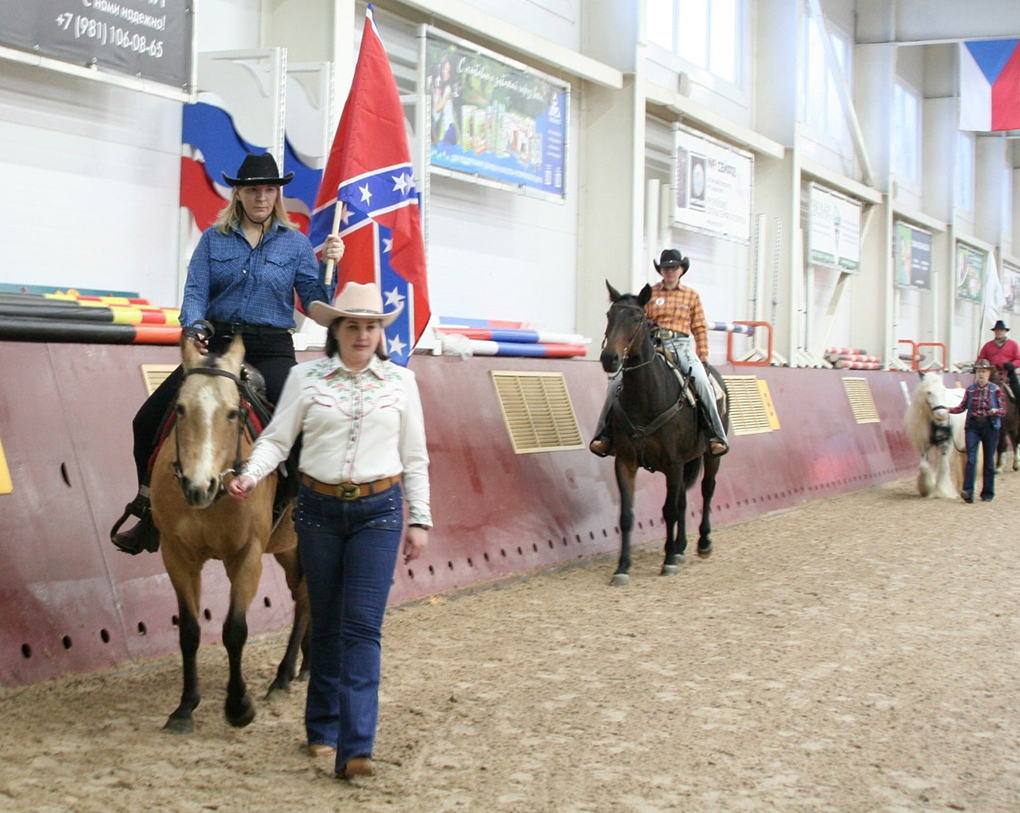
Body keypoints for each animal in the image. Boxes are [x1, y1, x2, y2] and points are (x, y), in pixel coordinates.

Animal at [147, 332, 306, 734]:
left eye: (233, 412)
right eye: (180, 408)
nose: (197, 486)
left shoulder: (247, 556)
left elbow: (235, 630)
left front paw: (238, 706)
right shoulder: (177, 556)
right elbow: (189, 631)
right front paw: (185, 707)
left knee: (307, 598)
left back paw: (283, 678)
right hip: (289, 549)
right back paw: (305, 667)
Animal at [595, 281, 730, 587]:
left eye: (637, 318)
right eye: (610, 315)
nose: (610, 358)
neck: (648, 397)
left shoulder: (674, 463)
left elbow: (669, 510)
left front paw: (667, 561)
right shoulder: (626, 462)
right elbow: (627, 515)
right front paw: (622, 568)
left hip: (711, 456)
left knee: (706, 489)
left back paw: (702, 543)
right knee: (682, 500)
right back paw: (679, 548)